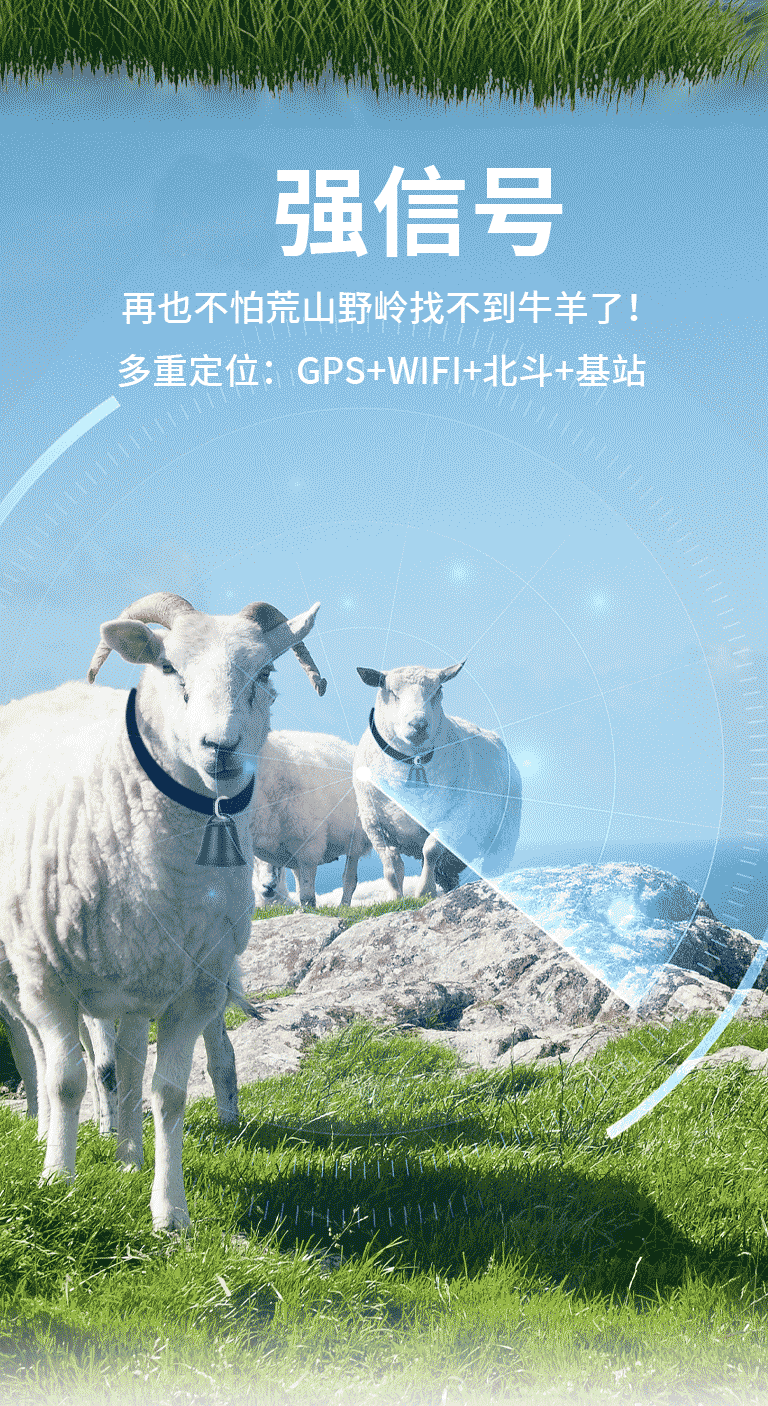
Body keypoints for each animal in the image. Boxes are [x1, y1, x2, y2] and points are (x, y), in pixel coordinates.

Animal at [0, 590, 324, 1230]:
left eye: (264, 673)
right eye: (170, 667)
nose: (221, 748)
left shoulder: (197, 986)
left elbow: (168, 1093)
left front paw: (170, 1212)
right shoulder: (48, 977)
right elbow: (66, 1079)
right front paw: (57, 1182)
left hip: (133, 976)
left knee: (125, 1066)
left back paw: (127, 1155)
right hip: (22, 972)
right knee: (37, 1055)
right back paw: (47, 1132)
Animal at [249, 731, 371, 908]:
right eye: (254, 865)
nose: (268, 887)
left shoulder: (308, 843)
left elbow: (307, 893)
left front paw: (307, 909)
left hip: (355, 838)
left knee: (349, 879)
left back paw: (343, 906)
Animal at [353, 663, 522, 900]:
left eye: (437, 690)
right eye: (392, 692)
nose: (418, 724)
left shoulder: (454, 816)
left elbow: (430, 850)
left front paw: (424, 892)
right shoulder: (373, 822)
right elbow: (391, 863)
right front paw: (395, 897)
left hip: (504, 834)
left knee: (492, 866)